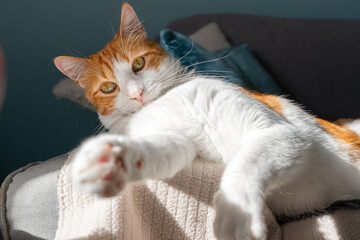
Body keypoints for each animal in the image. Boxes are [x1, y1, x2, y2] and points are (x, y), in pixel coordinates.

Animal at [53, 2, 360, 239]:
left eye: (138, 64)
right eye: (108, 87)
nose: (137, 93)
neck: (166, 101)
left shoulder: (279, 133)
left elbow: (243, 168)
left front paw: (238, 215)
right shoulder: (174, 141)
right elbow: (156, 149)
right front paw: (108, 160)